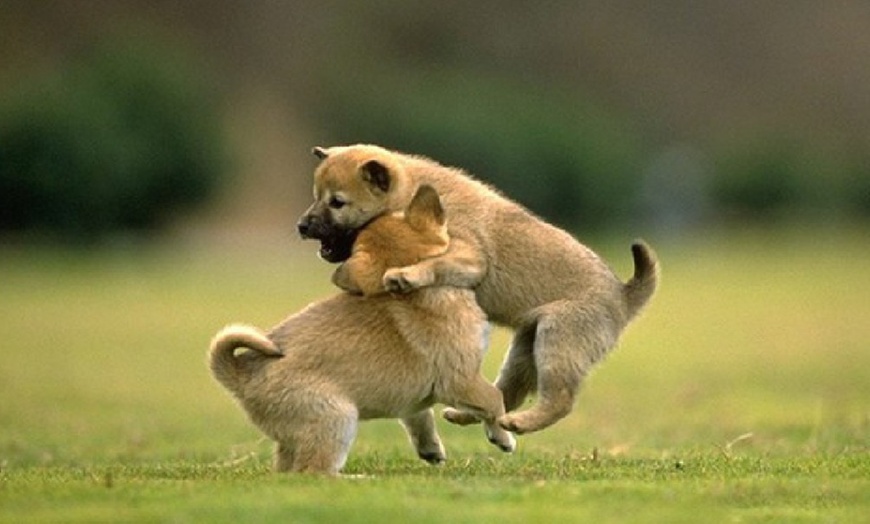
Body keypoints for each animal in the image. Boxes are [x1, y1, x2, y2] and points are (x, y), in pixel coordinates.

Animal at [210, 186, 516, 476]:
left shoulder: (414, 401)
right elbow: (495, 401)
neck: (424, 288)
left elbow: (420, 418)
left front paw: (430, 448)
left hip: (295, 438)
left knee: (288, 471)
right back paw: (358, 478)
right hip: (337, 418)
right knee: (314, 472)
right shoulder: (462, 380)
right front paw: (503, 436)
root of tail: (241, 372)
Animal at [300, 143, 660, 434]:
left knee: (559, 400)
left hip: (557, 341)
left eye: (337, 202)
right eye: (317, 197)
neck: (410, 193)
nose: (302, 226)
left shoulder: (470, 256)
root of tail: (622, 296)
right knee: (505, 393)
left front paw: (406, 275)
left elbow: (435, 264)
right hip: (525, 349)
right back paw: (469, 416)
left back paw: (521, 423)